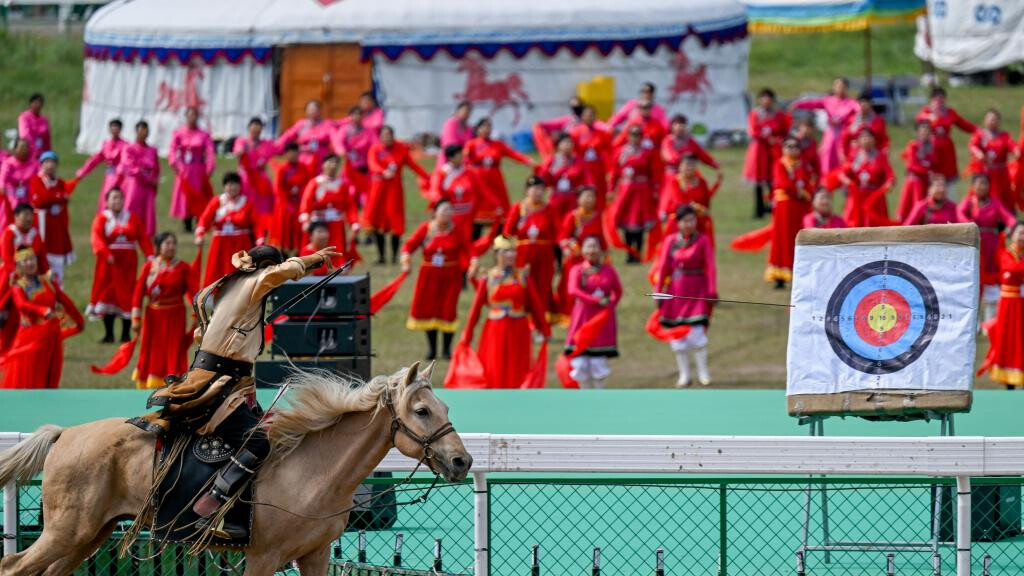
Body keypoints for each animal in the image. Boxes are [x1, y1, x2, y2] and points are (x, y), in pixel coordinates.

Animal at [0, 360, 471, 569]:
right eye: (422, 411)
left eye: (445, 407)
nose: (462, 460)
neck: (314, 468)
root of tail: (64, 434)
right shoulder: (263, 558)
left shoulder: (315, 555)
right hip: (65, 534)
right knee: (13, 567)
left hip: (86, 537)